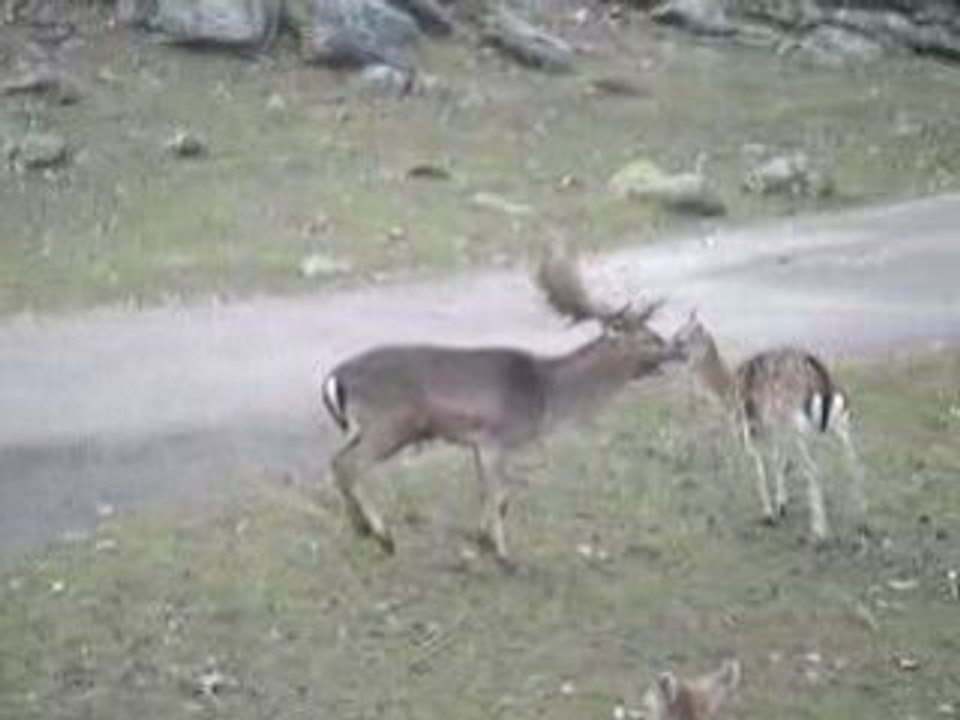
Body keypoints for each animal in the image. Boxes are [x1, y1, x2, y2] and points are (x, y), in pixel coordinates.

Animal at [319, 249, 687, 566]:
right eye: (648, 337)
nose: (678, 348)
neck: (545, 395)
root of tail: (335, 378)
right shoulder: (498, 436)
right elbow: (502, 494)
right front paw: (502, 553)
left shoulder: (480, 444)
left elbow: (490, 493)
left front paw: (481, 539)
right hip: (390, 423)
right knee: (351, 465)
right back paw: (384, 537)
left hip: (364, 427)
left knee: (336, 461)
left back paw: (361, 528)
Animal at [672, 313, 867, 543]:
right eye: (676, 334)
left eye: (681, 338)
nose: (669, 351)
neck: (728, 390)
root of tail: (823, 381)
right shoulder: (775, 430)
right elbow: (779, 461)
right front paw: (782, 505)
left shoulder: (749, 427)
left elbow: (759, 465)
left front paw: (769, 514)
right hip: (840, 421)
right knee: (853, 460)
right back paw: (861, 516)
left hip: (797, 425)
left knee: (813, 468)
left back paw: (819, 531)